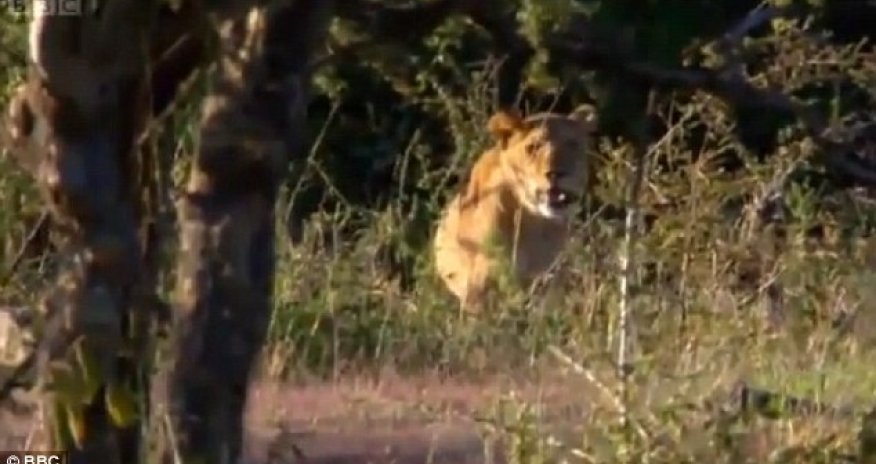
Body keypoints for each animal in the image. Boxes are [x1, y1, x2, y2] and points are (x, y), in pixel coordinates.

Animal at [432, 106, 599, 311]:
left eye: (572, 144)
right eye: (533, 147)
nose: (556, 173)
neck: (534, 224)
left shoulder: (552, 281)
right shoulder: (480, 288)